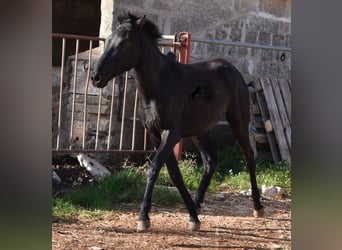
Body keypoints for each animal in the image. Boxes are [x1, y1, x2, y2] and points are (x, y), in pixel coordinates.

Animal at [91, 12, 264, 232]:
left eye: (124, 43)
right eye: (108, 40)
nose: (96, 77)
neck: (159, 86)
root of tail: (234, 70)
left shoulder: (171, 133)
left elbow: (154, 168)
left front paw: (143, 217)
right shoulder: (155, 135)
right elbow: (174, 173)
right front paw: (192, 217)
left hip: (239, 122)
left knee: (248, 158)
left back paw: (258, 207)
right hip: (200, 130)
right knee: (211, 162)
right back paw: (197, 205)